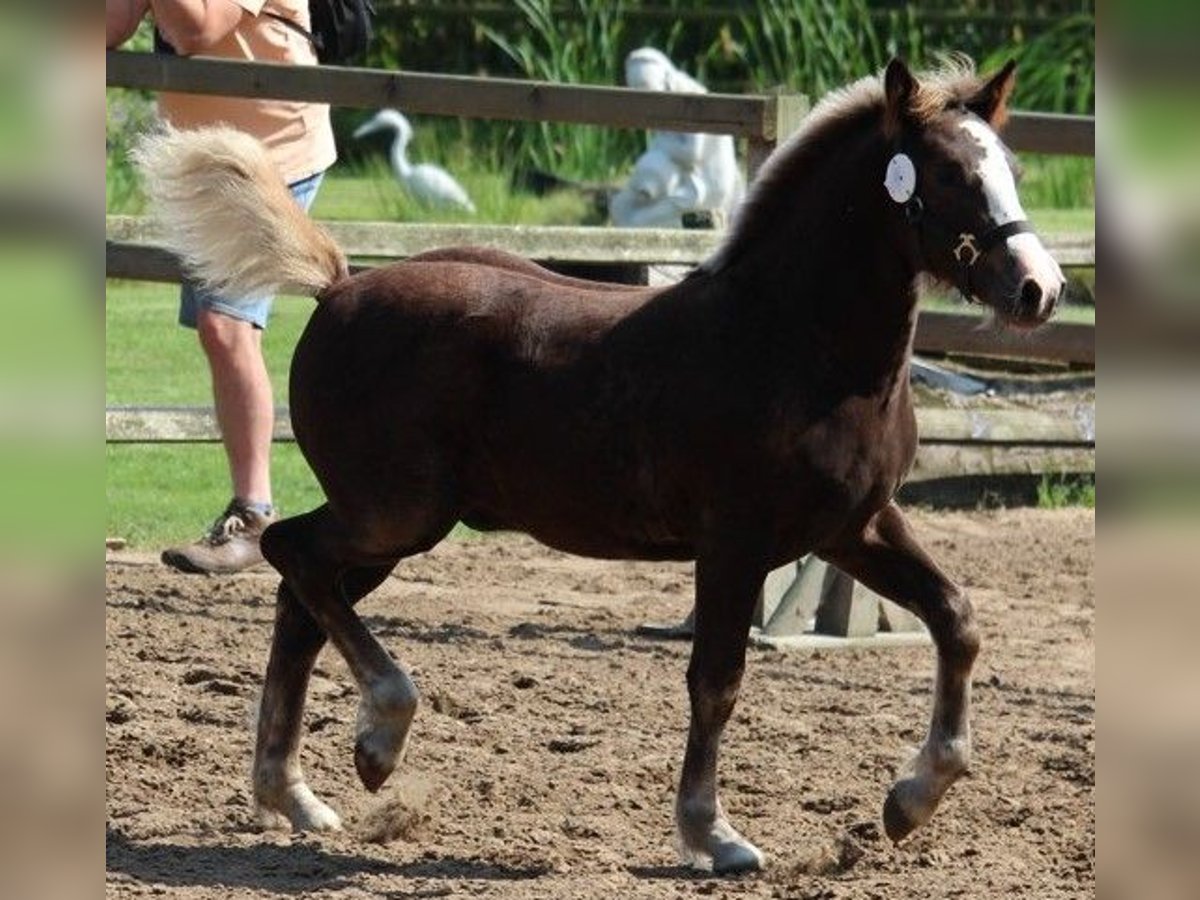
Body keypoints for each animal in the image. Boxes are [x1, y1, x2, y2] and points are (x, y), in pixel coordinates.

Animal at [136, 56, 1065, 873]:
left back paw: (296, 795)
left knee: (301, 600)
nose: (1040, 289)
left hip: (393, 528)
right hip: (394, 514)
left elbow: (957, 618)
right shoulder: (735, 542)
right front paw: (713, 835)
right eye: (947, 173)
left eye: (1012, 168)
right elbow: (717, 680)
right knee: (291, 554)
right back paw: (378, 738)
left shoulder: (851, 528)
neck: (794, 342)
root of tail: (337, 287)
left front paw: (911, 800)